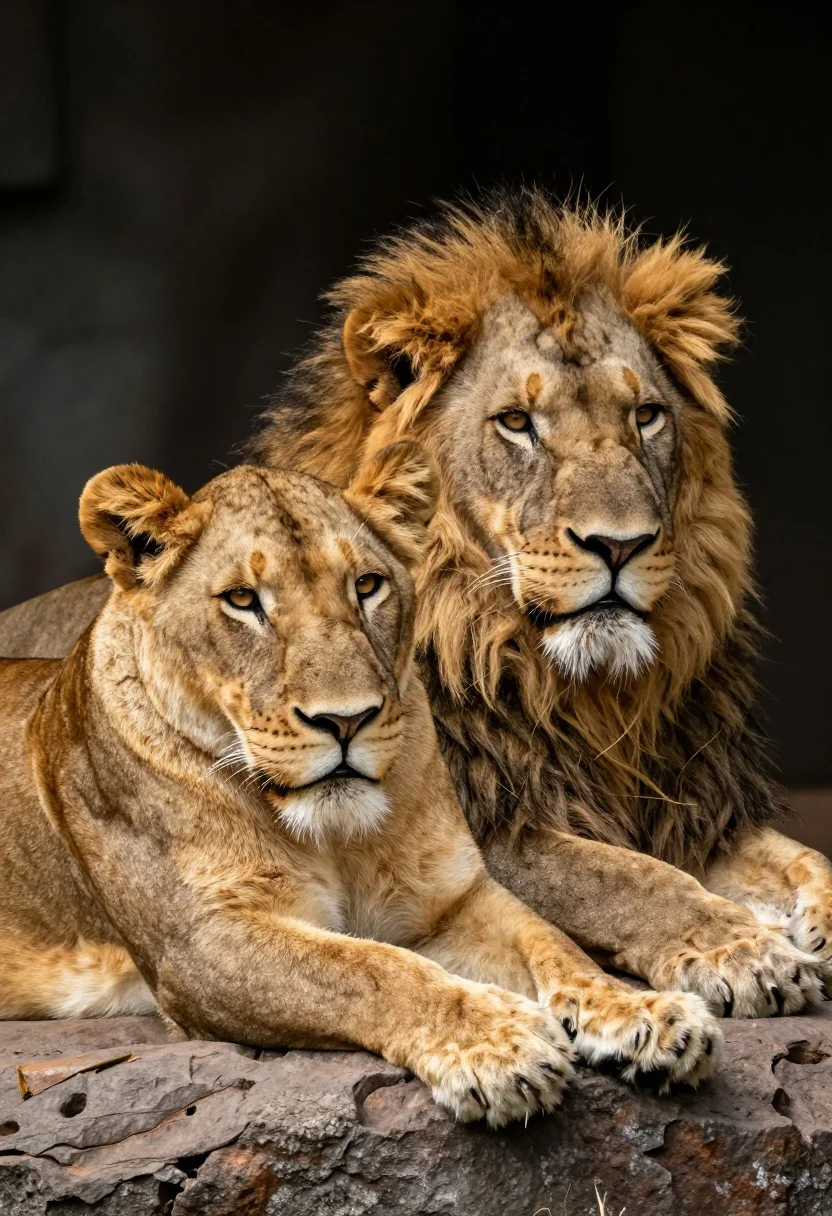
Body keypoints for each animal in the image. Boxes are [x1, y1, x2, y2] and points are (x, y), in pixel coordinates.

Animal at [0, 446, 723, 1128]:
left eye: (367, 586)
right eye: (243, 600)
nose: (345, 720)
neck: (335, 838)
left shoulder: (451, 899)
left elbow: (554, 944)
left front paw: (641, 1013)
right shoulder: (199, 947)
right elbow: (372, 970)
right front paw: (498, 1044)